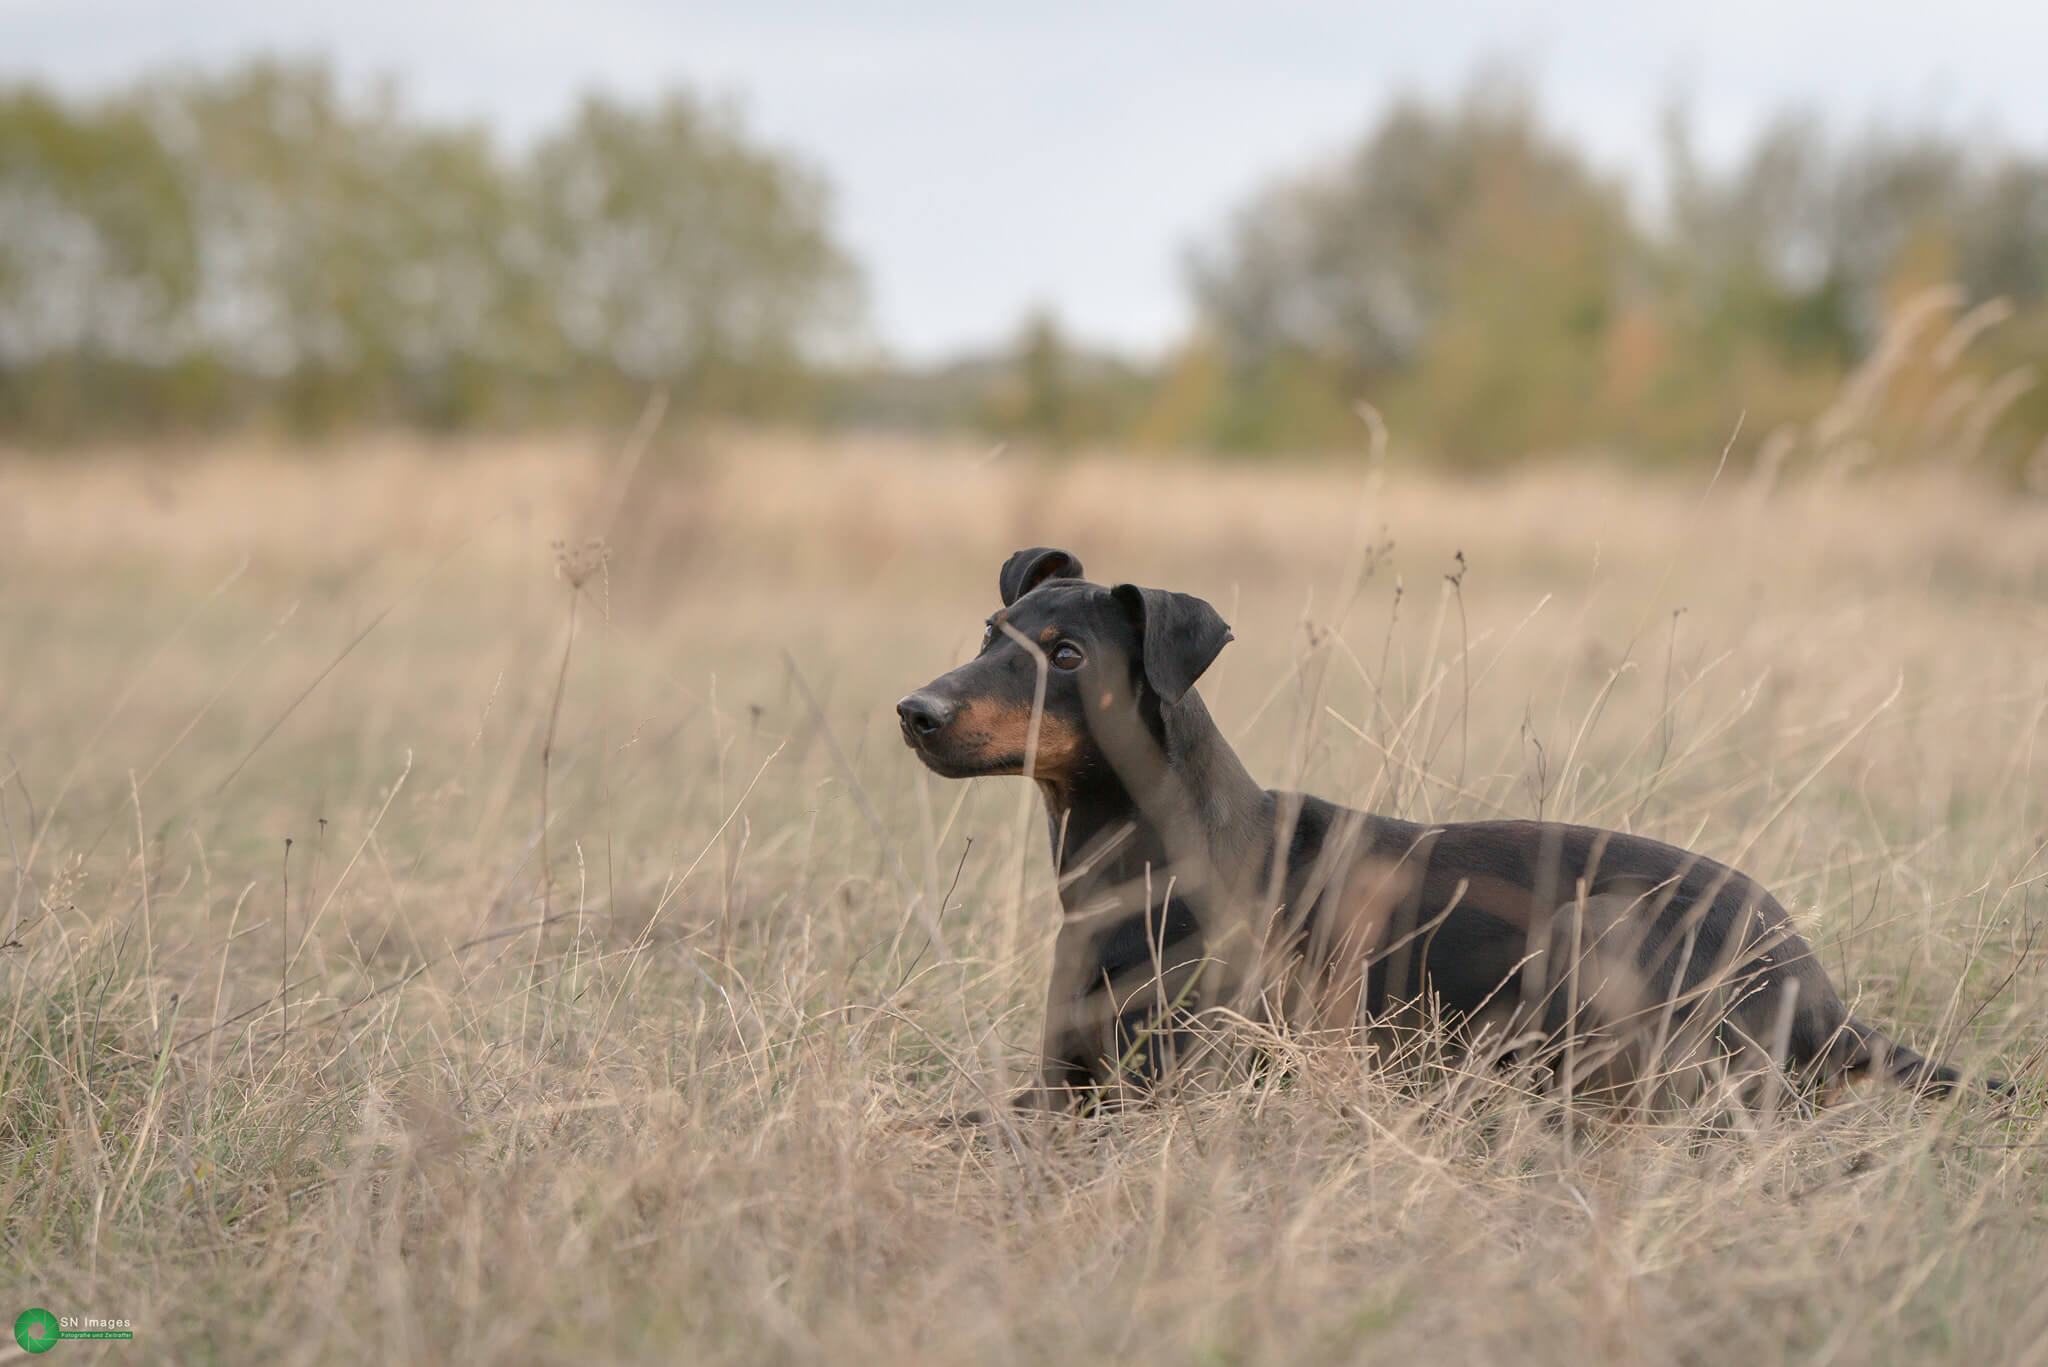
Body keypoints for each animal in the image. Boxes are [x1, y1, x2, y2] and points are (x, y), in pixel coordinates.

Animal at [901, 549, 1998, 1114]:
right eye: (988, 634)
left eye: (1067, 655)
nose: (913, 710)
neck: (1132, 858)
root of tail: (1822, 993)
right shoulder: (1064, 1083)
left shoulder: (1162, 1095)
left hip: (1595, 938)